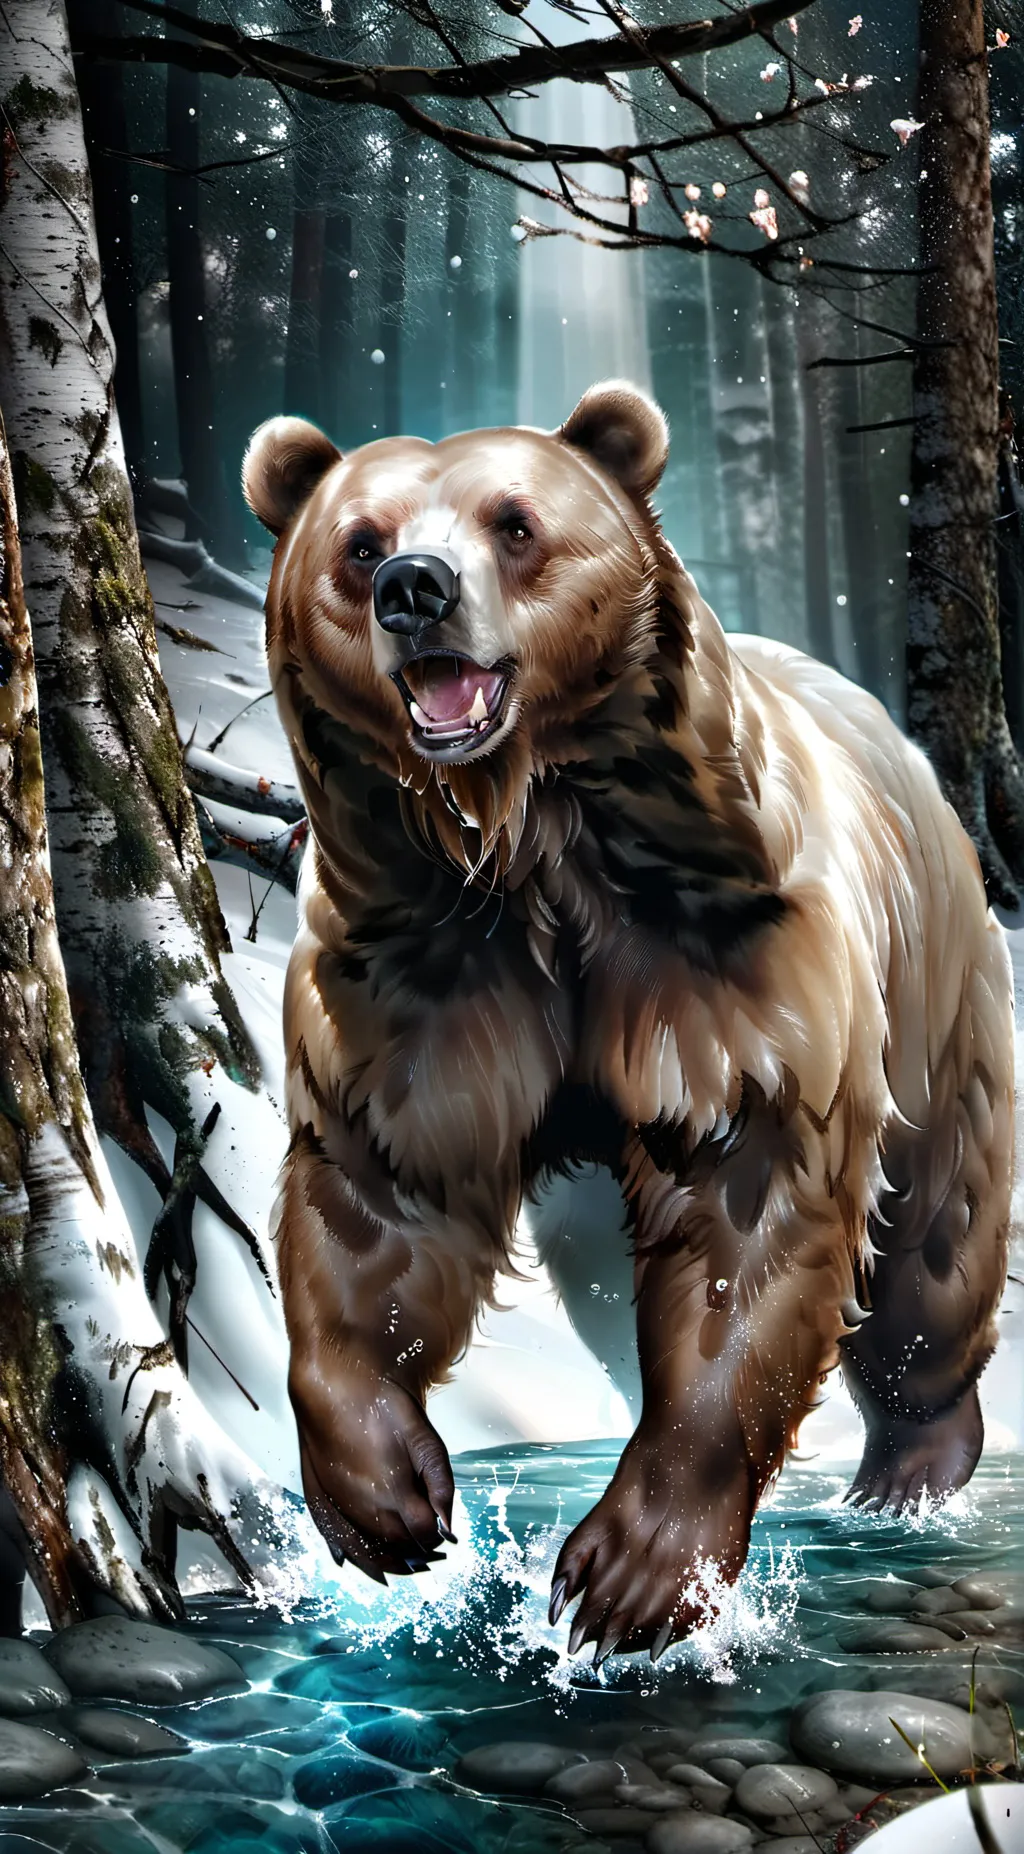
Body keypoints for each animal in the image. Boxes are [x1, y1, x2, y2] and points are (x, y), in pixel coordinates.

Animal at [242, 381, 1013, 1664]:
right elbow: (379, 1200)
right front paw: (388, 1502)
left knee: (933, 1240)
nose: (415, 587)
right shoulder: (420, 968)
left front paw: (628, 1576)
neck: (526, 842)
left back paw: (907, 1466)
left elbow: (748, 1202)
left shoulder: (726, 952)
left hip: (934, 994)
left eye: (514, 523)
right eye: (355, 542)